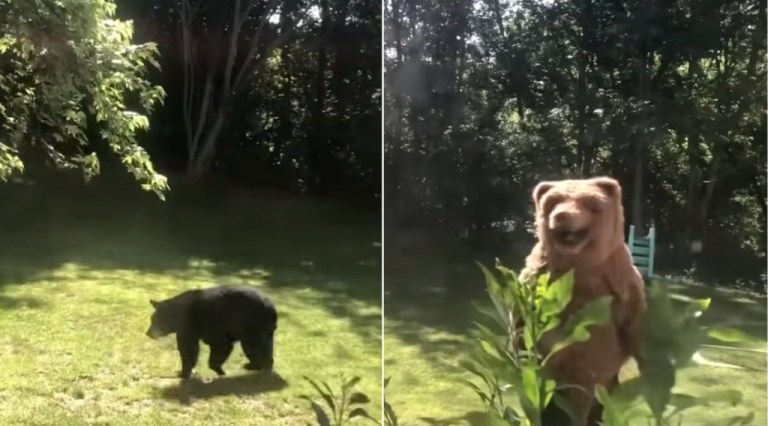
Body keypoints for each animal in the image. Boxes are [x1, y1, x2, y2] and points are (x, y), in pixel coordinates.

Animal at [145, 284, 276, 378]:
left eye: (155, 320)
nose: (148, 333)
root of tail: (270, 306)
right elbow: (218, 347)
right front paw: (219, 370)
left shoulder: (193, 327)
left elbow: (190, 349)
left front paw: (184, 373)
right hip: (264, 330)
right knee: (265, 347)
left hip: (251, 325)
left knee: (253, 346)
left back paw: (251, 366)